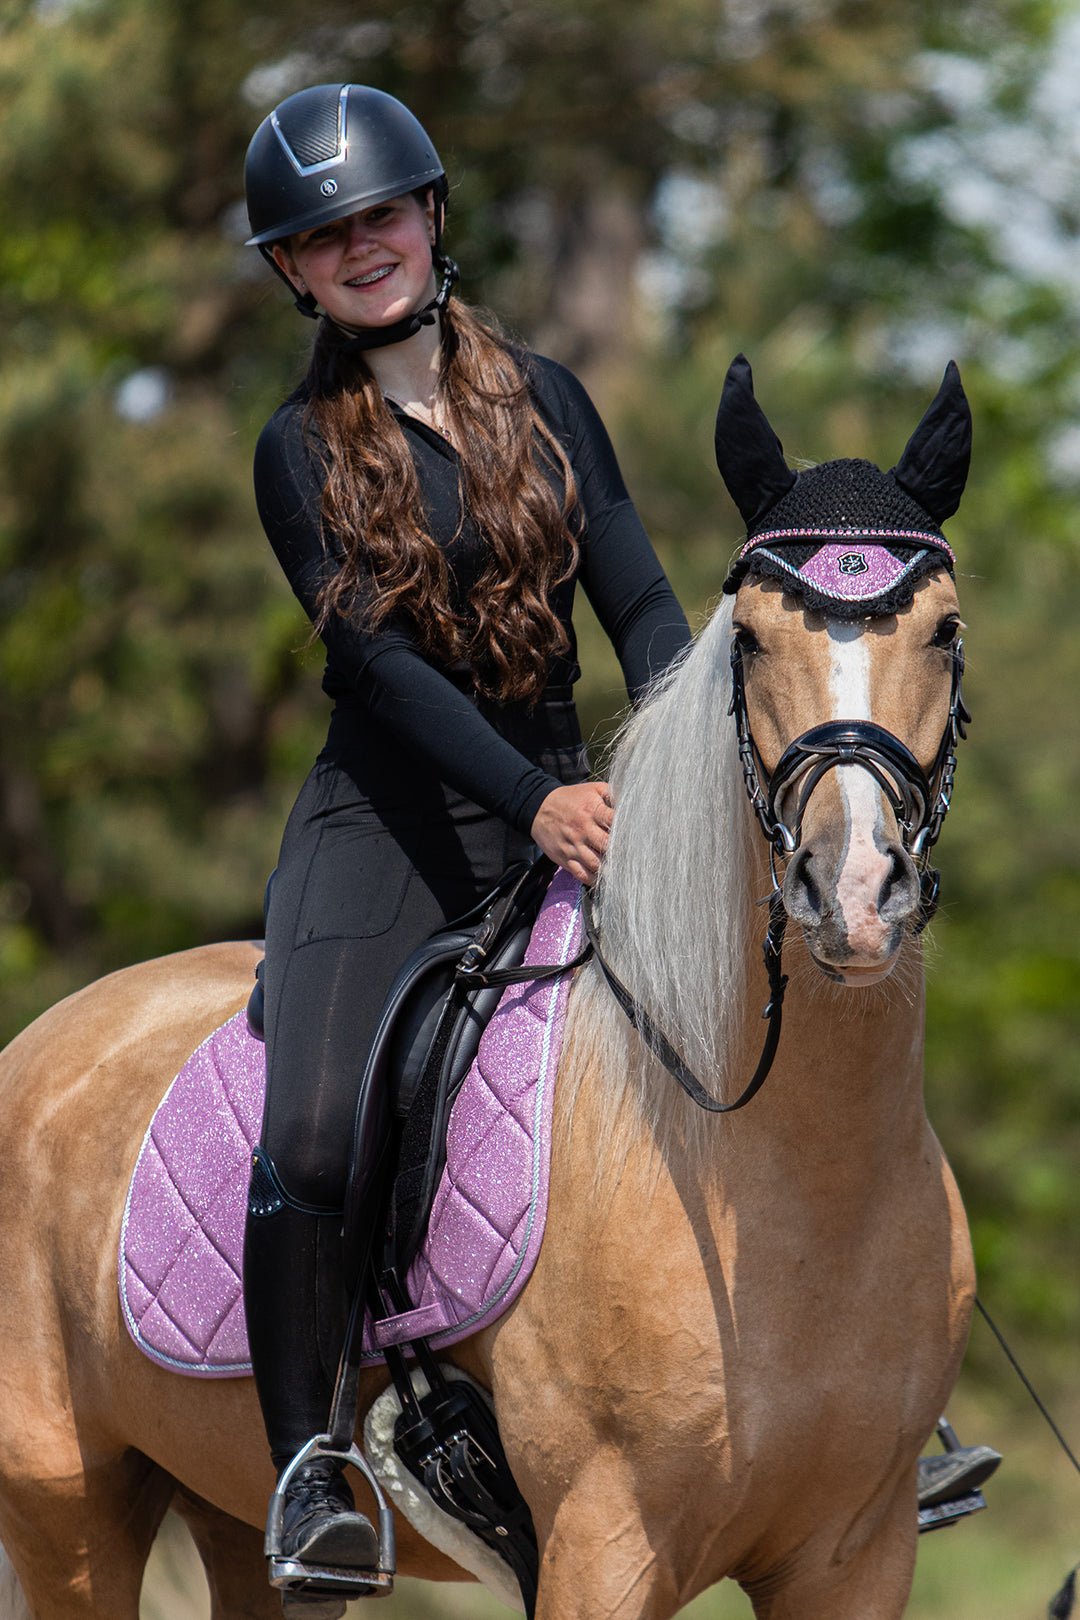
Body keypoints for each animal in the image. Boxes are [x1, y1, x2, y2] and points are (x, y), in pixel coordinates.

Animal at [0, 358, 977, 1620]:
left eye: (945, 631)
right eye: (752, 642)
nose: (852, 890)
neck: (782, 1178)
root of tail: (47, 1040)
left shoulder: (857, 1556)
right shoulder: (604, 1545)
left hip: (220, 1509)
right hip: (68, 1507)